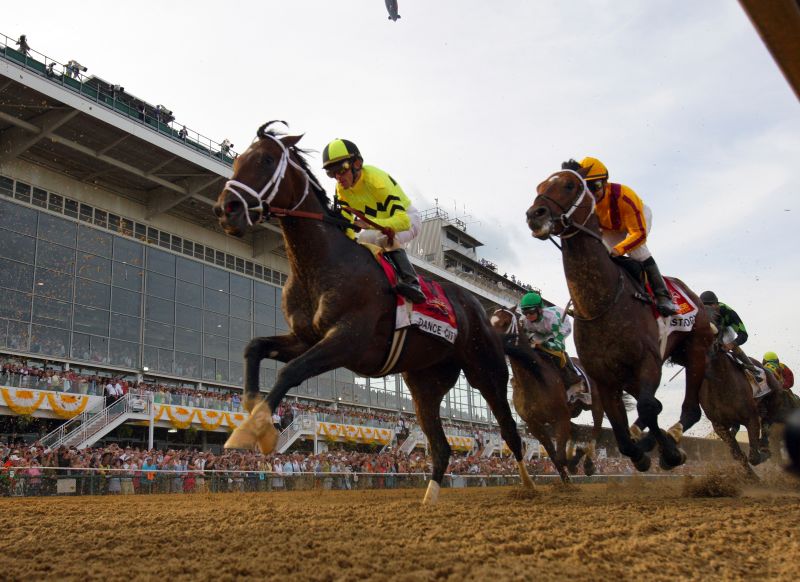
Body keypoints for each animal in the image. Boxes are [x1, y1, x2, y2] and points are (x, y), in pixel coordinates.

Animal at [216, 121, 536, 504]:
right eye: (237, 160)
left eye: (264, 160)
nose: (227, 209)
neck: (322, 263)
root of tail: (480, 310)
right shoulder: (305, 337)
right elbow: (254, 347)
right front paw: (254, 414)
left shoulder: (348, 340)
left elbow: (291, 371)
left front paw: (250, 430)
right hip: (426, 382)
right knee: (441, 445)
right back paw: (430, 497)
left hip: (485, 371)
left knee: (510, 430)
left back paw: (533, 486)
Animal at [488, 308, 608, 482]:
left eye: (504, 323)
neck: (533, 378)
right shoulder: (534, 424)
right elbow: (555, 458)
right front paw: (568, 476)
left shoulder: (560, 418)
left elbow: (560, 457)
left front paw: (574, 463)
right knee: (577, 430)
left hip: (595, 405)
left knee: (595, 431)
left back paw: (588, 464)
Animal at [524, 168, 712, 474]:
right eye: (539, 187)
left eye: (569, 184)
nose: (535, 214)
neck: (603, 303)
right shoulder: (603, 378)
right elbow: (622, 430)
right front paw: (640, 452)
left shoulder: (647, 362)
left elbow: (648, 407)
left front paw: (665, 453)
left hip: (696, 348)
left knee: (689, 409)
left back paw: (670, 440)